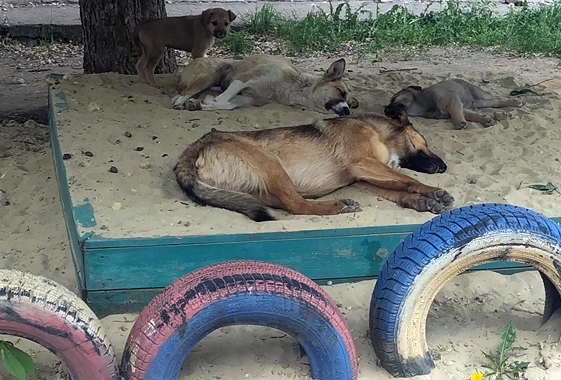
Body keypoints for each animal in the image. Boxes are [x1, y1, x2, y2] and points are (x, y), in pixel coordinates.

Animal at [171, 54, 358, 115]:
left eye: (349, 103)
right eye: (340, 92)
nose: (347, 111)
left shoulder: (248, 99)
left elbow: (230, 104)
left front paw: (208, 104)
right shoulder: (246, 77)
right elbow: (226, 96)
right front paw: (213, 100)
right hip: (210, 75)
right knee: (182, 93)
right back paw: (180, 102)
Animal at [173, 111, 452, 221]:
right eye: (425, 142)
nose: (445, 167)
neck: (378, 131)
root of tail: (194, 147)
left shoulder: (361, 178)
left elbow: (397, 188)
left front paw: (419, 201)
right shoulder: (362, 163)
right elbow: (409, 180)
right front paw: (431, 192)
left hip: (256, 187)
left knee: (283, 202)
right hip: (271, 163)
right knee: (296, 205)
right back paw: (336, 206)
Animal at [382, 78, 524, 129]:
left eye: (394, 99)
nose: (384, 109)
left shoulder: (453, 102)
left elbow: (456, 113)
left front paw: (459, 122)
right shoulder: (459, 107)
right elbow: (472, 115)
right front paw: (485, 119)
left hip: (479, 94)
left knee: (497, 98)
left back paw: (515, 101)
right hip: (478, 102)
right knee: (494, 102)